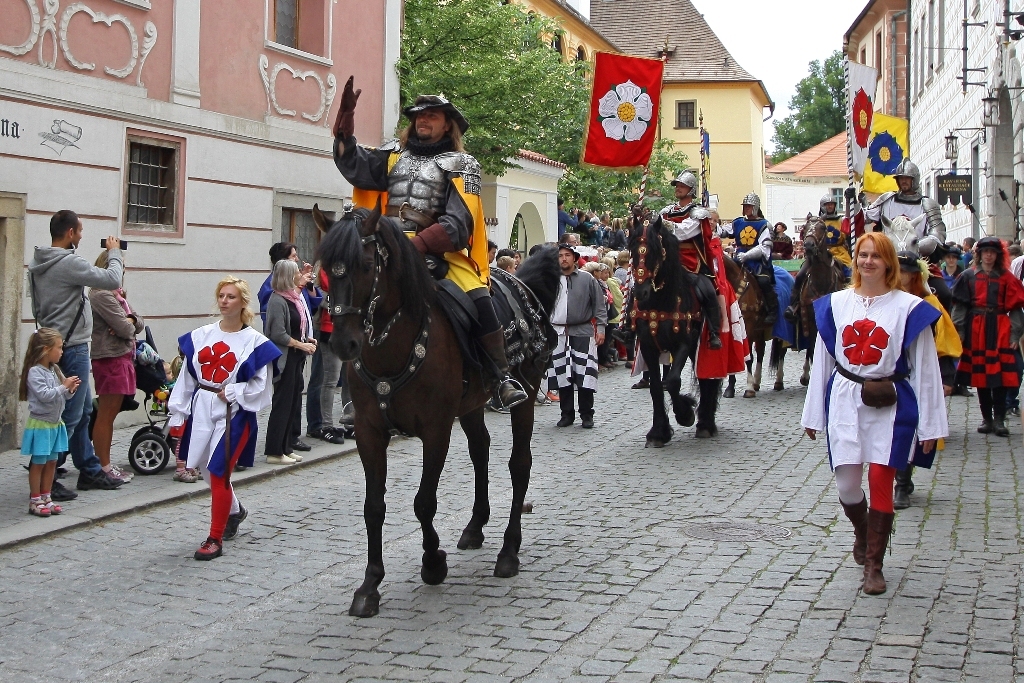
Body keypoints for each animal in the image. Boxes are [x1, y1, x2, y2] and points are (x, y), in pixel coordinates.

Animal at [315, 204, 561, 618]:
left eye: (365, 265)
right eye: (324, 268)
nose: (343, 343)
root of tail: (520, 282)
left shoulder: (436, 429)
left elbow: (423, 502)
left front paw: (433, 563)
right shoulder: (368, 432)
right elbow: (373, 506)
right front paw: (370, 585)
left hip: (525, 393)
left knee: (519, 464)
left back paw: (508, 552)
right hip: (473, 404)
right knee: (481, 450)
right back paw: (475, 527)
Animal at [626, 215, 724, 448]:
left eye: (655, 250)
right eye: (632, 248)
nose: (641, 292)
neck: (663, 300)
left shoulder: (684, 343)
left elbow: (672, 381)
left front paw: (685, 413)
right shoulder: (649, 347)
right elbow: (655, 387)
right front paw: (658, 432)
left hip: (700, 345)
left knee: (707, 379)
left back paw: (705, 424)